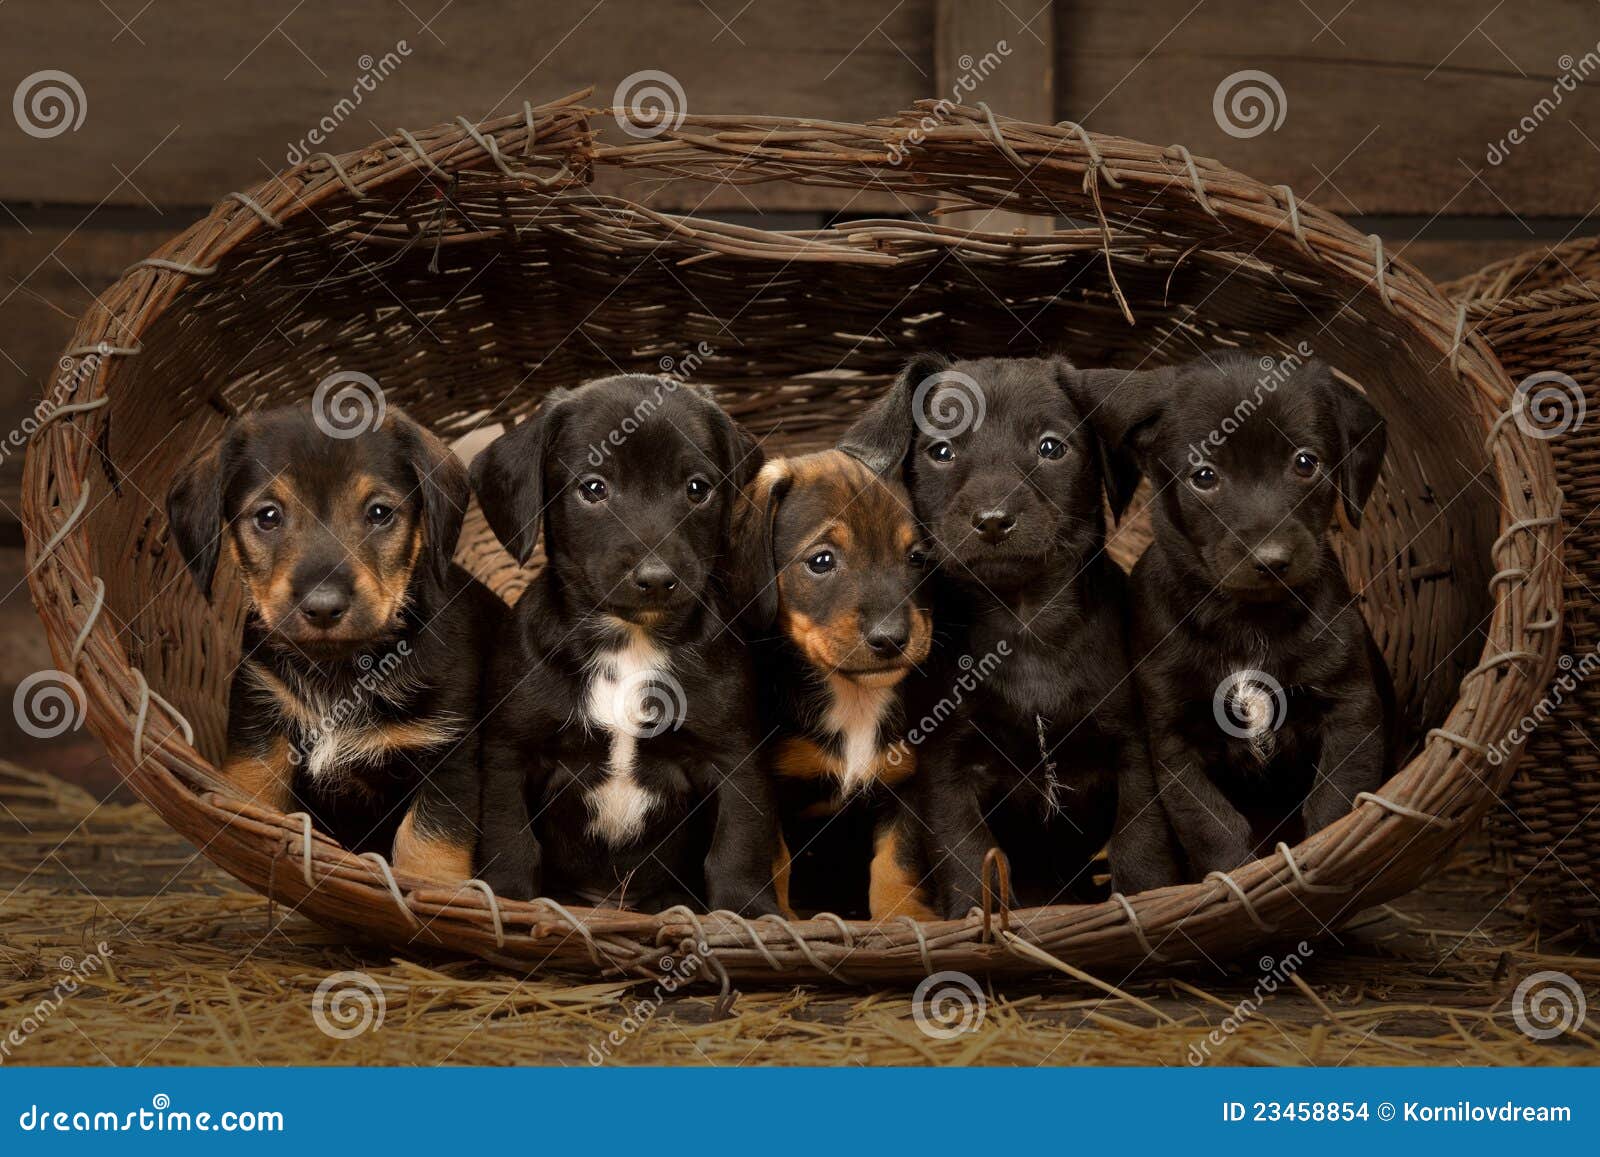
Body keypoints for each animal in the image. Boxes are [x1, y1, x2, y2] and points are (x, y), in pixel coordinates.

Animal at [162, 403, 499, 883]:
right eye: (267, 516)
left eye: (379, 512)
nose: (323, 607)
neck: (342, 669)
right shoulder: (260, 730)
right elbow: (256, 799)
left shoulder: (450, 756)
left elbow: (427, 849)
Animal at [467, 371, 780, 915]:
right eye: (593, 488)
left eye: (697, 489)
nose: (656, 579)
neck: (631, 641)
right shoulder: (510, 754)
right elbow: (510, 840)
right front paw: (505, 898)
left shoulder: (735, 760)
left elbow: (737, 848)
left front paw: (750, 913)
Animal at [732, 448, 940, 921]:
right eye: (821, 561)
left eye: (917, 558)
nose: (890, 638)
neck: (854, 698)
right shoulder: (769, 789)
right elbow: (776, 858)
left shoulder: (905, 781)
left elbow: (896, 861)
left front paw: (905, 919)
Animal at [838, 356, 1164, 921]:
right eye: (941, 451)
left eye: (1051, 448)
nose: (992, 521)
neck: (1024, 625)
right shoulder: (946, 770)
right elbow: (969, 854)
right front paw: (976, 918)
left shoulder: (1133, 750)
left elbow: (1139, 842)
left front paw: (1146, 901)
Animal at [1081, 356, 1395, 883]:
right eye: (1204, 476)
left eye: (1305, 462)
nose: (1270, 560)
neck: (1248, 622)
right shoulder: (1174, 745)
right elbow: (1215, 829)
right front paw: (1234, 878)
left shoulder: (1351, 712)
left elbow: (1331, 807)